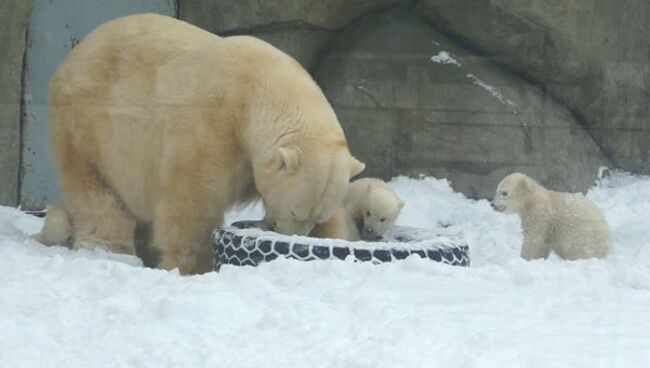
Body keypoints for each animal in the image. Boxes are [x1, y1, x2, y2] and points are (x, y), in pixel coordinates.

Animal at [41, 13, 364, 274]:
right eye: (296, 212)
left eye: (314, 217)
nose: (283, 233)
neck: (256, 87)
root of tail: (75, 52)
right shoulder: (212, 124)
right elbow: (192, 198)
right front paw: (193, 266)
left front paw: (336, 239)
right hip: (87, 123)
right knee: (94, 186)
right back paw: (107, 248)